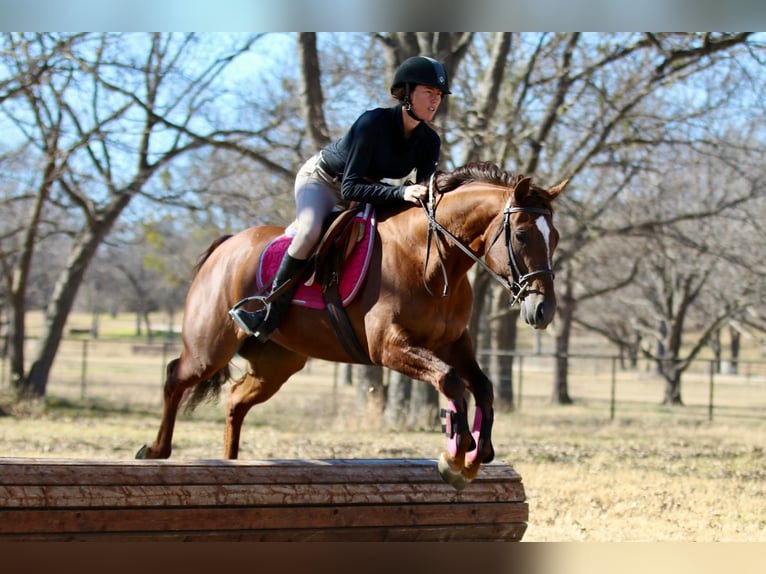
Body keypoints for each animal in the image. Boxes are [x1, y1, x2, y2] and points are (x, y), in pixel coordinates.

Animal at [136, 161, 566, 490]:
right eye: (522, 235)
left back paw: (230, 463)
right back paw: (155, 451)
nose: (543, 311)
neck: (431, 258)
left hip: (277, 362)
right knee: (175, 376)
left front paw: (477, 456)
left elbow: (483, 387)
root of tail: (226, 244)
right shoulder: (388, 346)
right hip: (209, 347)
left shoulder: (454, 342)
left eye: (556, 238)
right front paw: (455, 458)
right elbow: (451, 381)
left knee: (236, 400)